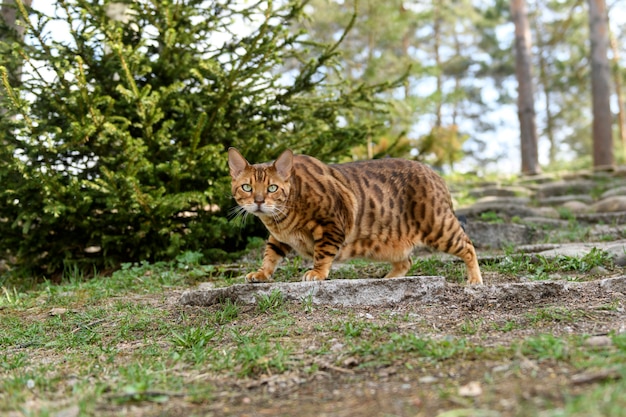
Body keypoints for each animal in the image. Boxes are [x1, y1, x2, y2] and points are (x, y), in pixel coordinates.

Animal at [228, 145, 482, 284]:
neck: (280, 220)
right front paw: (262, 273)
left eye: (272, 188)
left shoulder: (332, 223)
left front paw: (317, 273)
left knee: (468, 246)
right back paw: (389, 278)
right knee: (406, 260)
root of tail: (436, 174)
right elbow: (270, 254)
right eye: (247, 187)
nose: (259, 201)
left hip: (438, 226)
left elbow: (322, 252)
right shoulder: (278, 238)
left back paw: (475, 279)